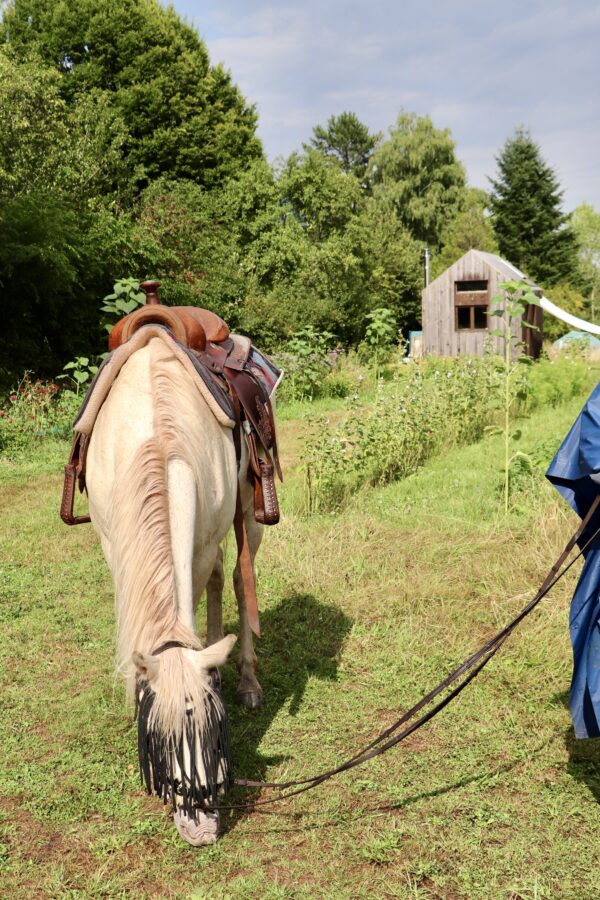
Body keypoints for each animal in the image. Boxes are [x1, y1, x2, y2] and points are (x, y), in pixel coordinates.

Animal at [84, 333, 264, 845]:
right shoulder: (114, 544)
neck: (157, 436)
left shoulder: (199, 547)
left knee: (239, 581)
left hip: (247, 512)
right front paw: (133, 691)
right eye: (160, 746)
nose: (201, 829)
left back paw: (246, 678)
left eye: (215, 735)